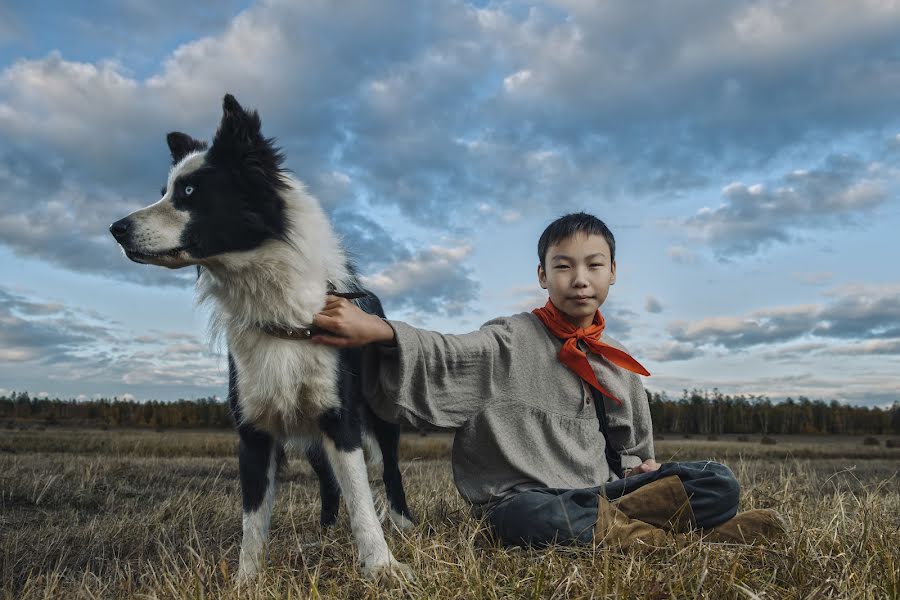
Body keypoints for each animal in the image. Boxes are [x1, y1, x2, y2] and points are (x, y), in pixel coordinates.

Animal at [109, 95, 414, 580]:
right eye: (164, 190)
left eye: (189, 193)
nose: (116, 229)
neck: (275, 305)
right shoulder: (253, 430)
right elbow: (253, 519)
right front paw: (246, 579)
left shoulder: (339, 418)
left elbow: (362, 500)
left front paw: (382, 565)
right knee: (328, 482)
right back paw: (326, 532)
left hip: (380, 419)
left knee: (389, 471)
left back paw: (403, 526)